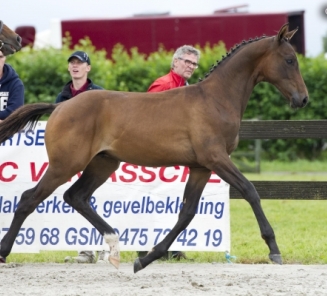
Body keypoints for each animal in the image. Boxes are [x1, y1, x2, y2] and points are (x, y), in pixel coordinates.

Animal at [0, 23, 308, 272]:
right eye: (290, 60)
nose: (303, 99)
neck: (215, 99)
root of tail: (61, 106)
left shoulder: (201, 167)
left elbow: (187, 213)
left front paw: (146, 259)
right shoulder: (217, 159)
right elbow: (250, 191)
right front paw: (274, 250)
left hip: (103, 163)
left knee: (76, 197)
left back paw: (115, 247)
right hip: (65, 164)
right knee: (29, 198)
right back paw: (4, 252)